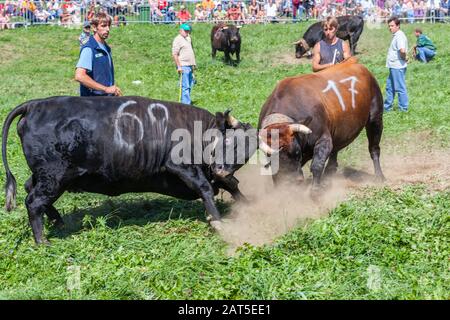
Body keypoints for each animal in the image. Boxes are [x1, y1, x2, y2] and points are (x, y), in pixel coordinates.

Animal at [1, 96, 256, 244]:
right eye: (230, 142)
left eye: (247, 152)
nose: (222, 170)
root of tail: (34, 105)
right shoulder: (181, 166)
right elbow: (205, 188)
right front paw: (218, 221)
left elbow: (231, 185)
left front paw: (249, 205)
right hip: (55, 176)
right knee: (34, 202)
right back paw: (43, 241)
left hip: (48, 176)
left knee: (30, 189)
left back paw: (58, 221)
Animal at [258, 57, 384, 192]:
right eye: (270, 156)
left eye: (297, 152)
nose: (294, 182)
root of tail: (353, 61)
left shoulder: (323, 139)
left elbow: (317, 165)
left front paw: (315, 190)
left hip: (375, 118)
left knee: (374, 148)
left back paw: (379, 176)